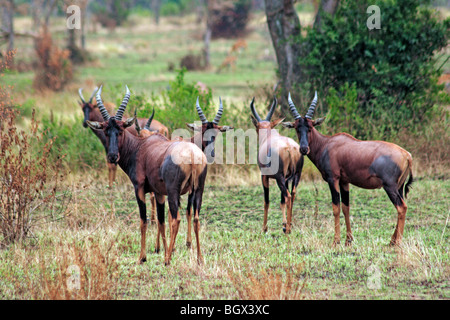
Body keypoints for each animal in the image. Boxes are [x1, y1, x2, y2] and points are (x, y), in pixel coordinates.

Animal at [86, 85, 207, 264]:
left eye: (120, 130)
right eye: (106, 130)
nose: (113, 156)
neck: (140, 147)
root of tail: (192, 154)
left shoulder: (140, 188)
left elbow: (143, 221)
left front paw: (142, 257)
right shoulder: (159, 193)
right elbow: (161, 222)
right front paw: (160, 250)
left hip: (174, 191)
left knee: (176, 219)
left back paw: (168, 260)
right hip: (198, 190)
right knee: (196, 218)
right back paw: (198, 258)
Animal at [250, 96, 302, 234]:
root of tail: (290, 148)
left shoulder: (264, 176)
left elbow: (267, 201)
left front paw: (264, 228)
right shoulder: (287, 178)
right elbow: (281, 201)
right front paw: (283, 223)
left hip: (279, 178)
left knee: (288, 196)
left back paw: (287, 229)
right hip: (296, 176)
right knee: (292, 195)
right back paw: (289, 226)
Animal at [284, 91, 414, 246]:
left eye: (310, 127)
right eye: (297, 128)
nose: (304, 149)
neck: (327, 144)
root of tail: (406, 155)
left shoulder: (333, 179)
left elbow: (336, 207)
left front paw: (336, 241)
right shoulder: (344, 181)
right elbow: (346, 207)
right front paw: (348, 239)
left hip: (390, 187)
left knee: (402, 207)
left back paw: (397, 242)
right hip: (399, 187)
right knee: (402, 206)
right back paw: (392, 241)